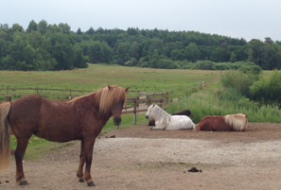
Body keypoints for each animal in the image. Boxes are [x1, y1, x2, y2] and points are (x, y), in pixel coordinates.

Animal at [0, 85, 129, 187]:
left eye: (122, 101)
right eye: (113, 100)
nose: (117, 120)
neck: (93, 109)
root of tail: (12, 103)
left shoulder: (84, 139)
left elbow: (82, 156)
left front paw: (80, 177)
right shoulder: (90, 139)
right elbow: (89, 158)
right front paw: (89, 180)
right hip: (23, 138)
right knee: (18, 155)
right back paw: (22, 180)